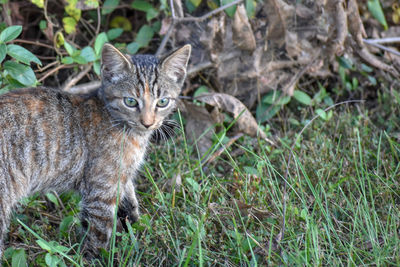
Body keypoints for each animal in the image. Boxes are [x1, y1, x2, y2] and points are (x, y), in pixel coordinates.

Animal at [0, 43, 191, 260]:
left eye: (162, 102)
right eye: (130, 101)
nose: (147, 123)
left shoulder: (121, 176)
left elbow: (129, 200)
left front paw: (136, 227)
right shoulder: (101, 191)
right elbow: (99, 232)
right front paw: (94, 258)